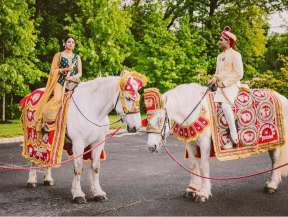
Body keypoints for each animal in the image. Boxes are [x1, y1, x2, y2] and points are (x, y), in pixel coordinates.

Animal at [25, 73, 145, 203]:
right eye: (128, 98)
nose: (136, 127)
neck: (92, 110)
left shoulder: (98, 143)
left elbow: (95, 168)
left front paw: (97, 193)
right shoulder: (78, 144)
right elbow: (78, 169)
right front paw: (78, 194)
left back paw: (48, 179)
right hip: (33, 137)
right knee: (33, 157)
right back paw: (31, 180)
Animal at [145, 84, 288, 203]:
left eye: (160, 119)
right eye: (147, 120)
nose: (151, 147)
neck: (196, 110)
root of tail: (281, 97)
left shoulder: (204, 143)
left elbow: (203, 166)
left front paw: (203, 193)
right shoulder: (190, 143)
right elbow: (193, 165)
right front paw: (192, 189)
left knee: (276, 161)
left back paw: (272, 185)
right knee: (274, 160)